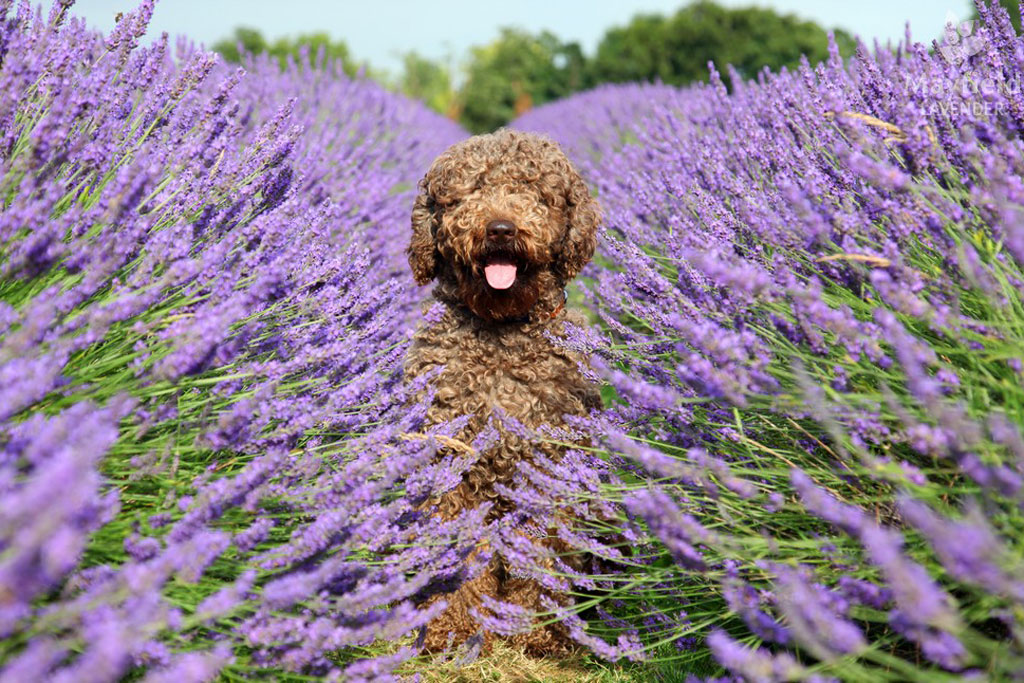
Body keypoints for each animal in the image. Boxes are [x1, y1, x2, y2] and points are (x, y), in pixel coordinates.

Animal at [405, 127, 602, 655]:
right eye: (468, 191)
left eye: (534, 191)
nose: (499, 229)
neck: (499, 334)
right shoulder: (451, 460)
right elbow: (459, 549)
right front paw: (453, 628)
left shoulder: (546, 466)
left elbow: (540, 552)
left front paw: (536, 629)